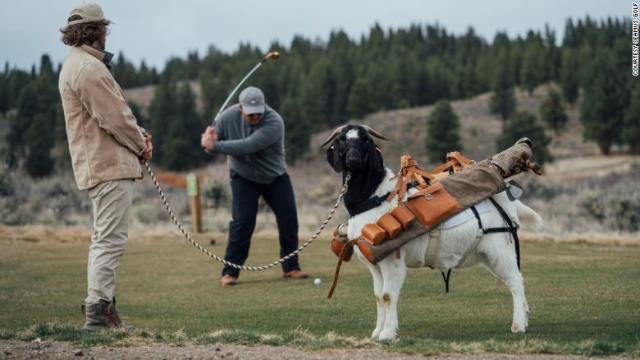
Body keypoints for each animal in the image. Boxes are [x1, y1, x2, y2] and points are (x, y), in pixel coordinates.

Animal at [322, 124, 544, 340]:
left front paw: (387, 334)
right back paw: (525, 318)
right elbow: (378, 296)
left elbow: (388, 295)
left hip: (500, 249)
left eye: (366, 141)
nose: (353, 159)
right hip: (487, 255)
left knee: (516, 281)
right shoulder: (374, 265)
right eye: (342, 139)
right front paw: (377, 332)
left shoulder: (393, 261)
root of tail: (507, 201)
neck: (376, 197)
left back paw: (518, 325)